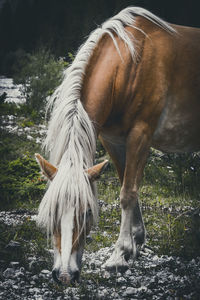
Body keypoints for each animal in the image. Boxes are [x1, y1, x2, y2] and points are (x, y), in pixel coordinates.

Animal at [34, 5, 200, 284]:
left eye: (87, 213)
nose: (65, 276)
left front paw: (119, 256)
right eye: (52, 212)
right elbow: (127, 183)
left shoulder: (140, 135)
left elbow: (127, 193)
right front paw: (135, 243)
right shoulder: (112, 140)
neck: (131, 64)